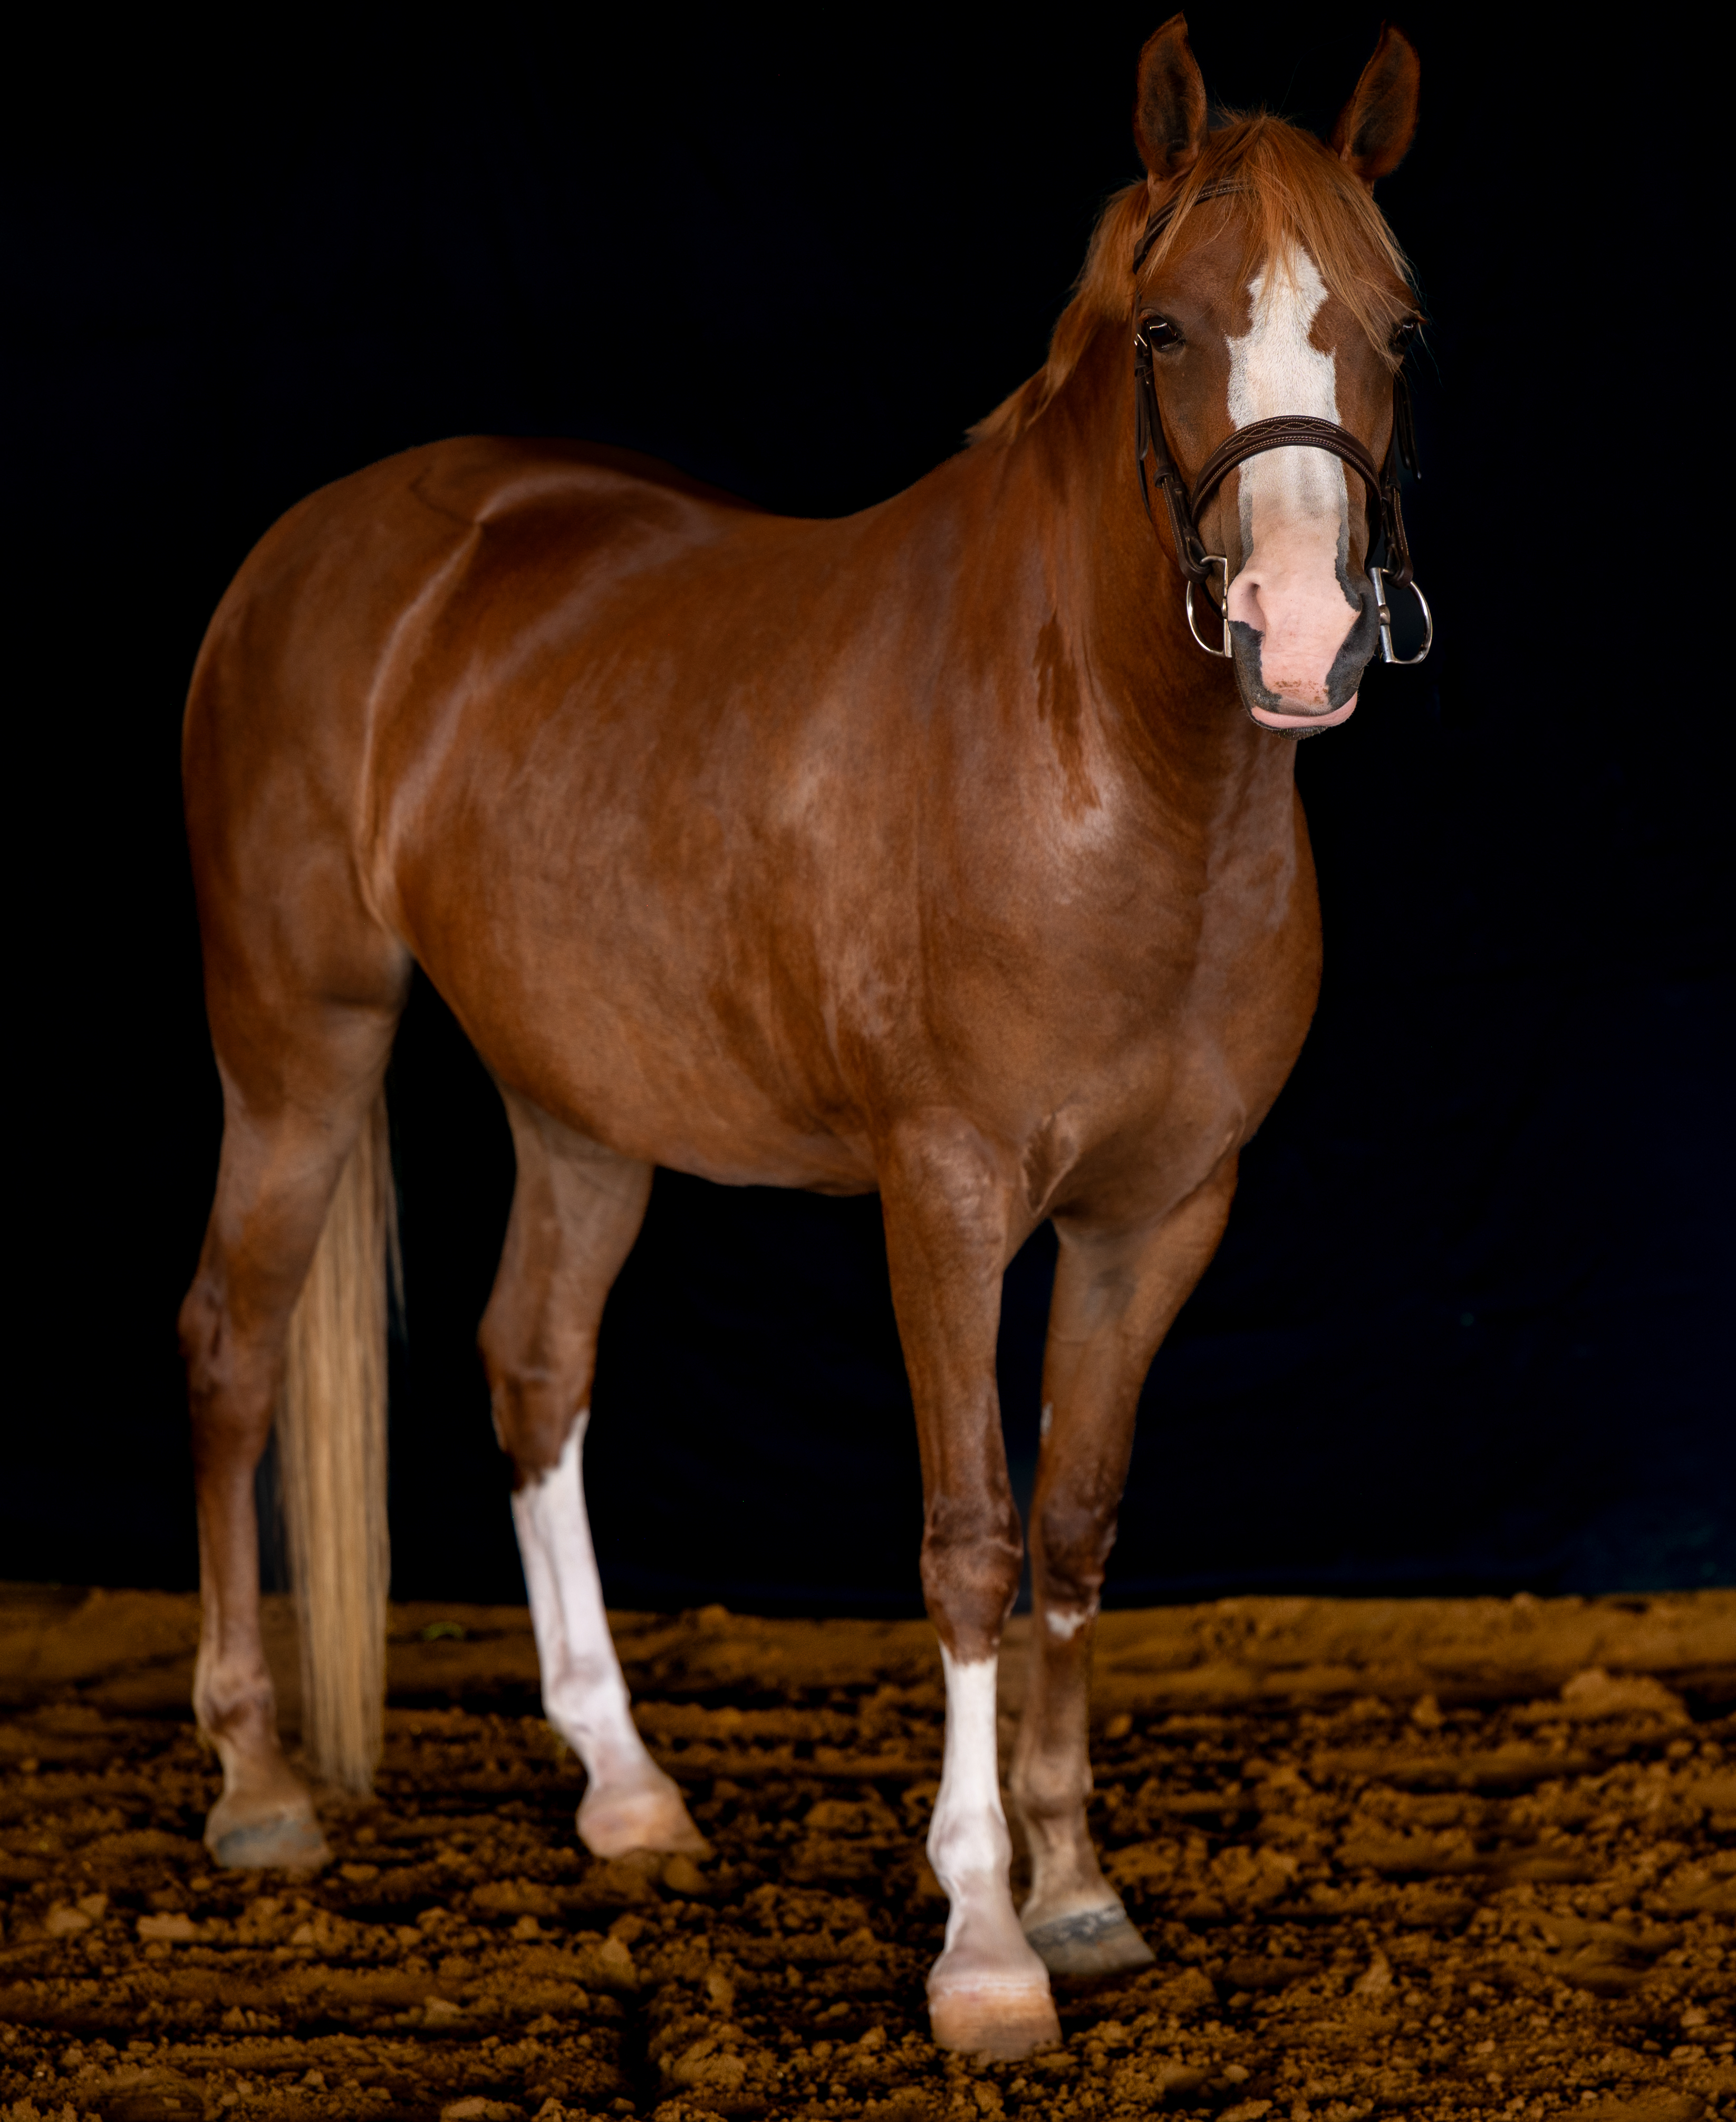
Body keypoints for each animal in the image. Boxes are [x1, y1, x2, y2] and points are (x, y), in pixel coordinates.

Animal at [178, 14, 1425, 2060]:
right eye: (1167, 326)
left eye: (1395, 327)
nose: (1301, 634)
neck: (1100, 762)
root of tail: (322, 545)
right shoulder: (946, 1201)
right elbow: (973, 1533)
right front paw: (984, 1941)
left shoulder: (1158, 1217)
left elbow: (1077, 1521)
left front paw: (1078, 1890)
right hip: (297, 1044)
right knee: (234, 1347)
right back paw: (259, 1780)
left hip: (581, 1104)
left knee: (533, 1366)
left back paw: (624, 1787)